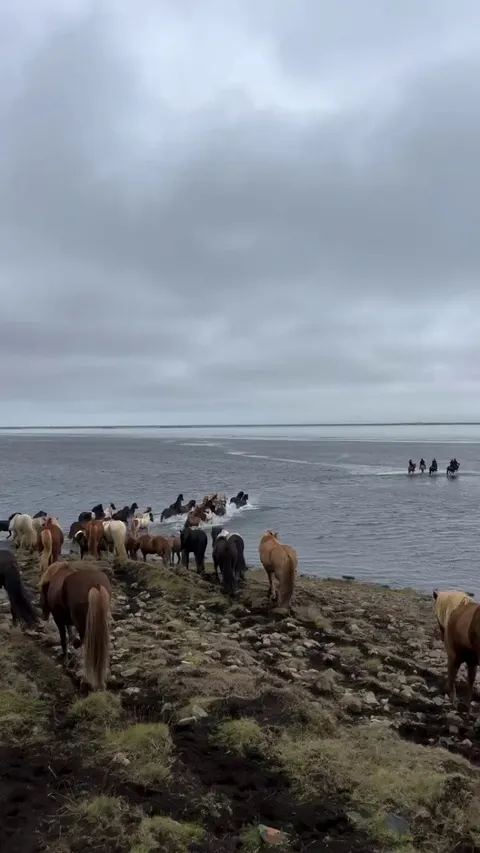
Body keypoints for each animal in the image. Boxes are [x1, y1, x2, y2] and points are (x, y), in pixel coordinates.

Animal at [39, 561, 111, 690]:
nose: (43, 616)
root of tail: (95, 585)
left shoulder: (59, 620)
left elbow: (64, 640)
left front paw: (66, 663)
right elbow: (70, 633)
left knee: (85, 644)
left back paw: (85, 679)